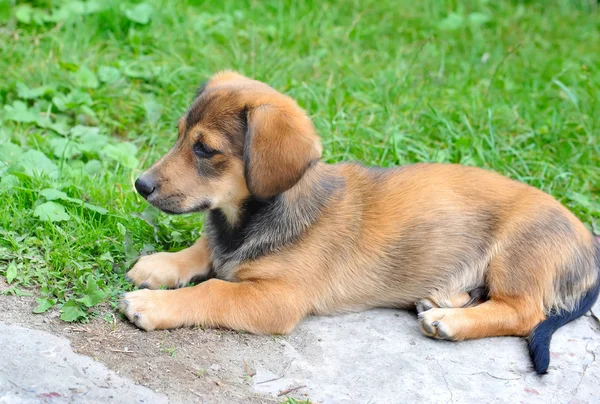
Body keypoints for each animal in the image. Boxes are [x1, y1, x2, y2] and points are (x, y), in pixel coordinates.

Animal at [119, 71, 596, 374]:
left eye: (205, 150)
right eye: (180, 135)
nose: (140, 185)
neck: (248, 220)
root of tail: (588, 242)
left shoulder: (279, 298)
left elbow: (214, 289)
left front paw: (153, 305)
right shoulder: (223, 241)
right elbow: (204, 248)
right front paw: (161, 264)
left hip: (518, 254)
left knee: (525, 312)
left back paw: (449, 320)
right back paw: (443, 300)